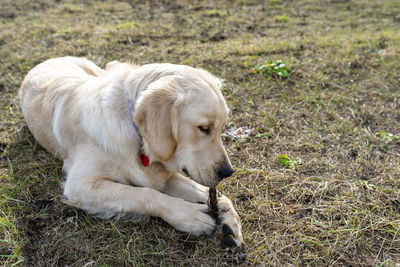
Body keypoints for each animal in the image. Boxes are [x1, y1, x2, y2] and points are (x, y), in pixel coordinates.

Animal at [18, 56, 242, 247]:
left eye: (222, 128)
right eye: (203, 128)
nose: (227, 172)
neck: (138, 139)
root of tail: (49, 59)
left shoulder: (161, 174)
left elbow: (208, 192)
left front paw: (227, 215)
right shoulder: (79, 185)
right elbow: (145, 194)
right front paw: (189, 215)